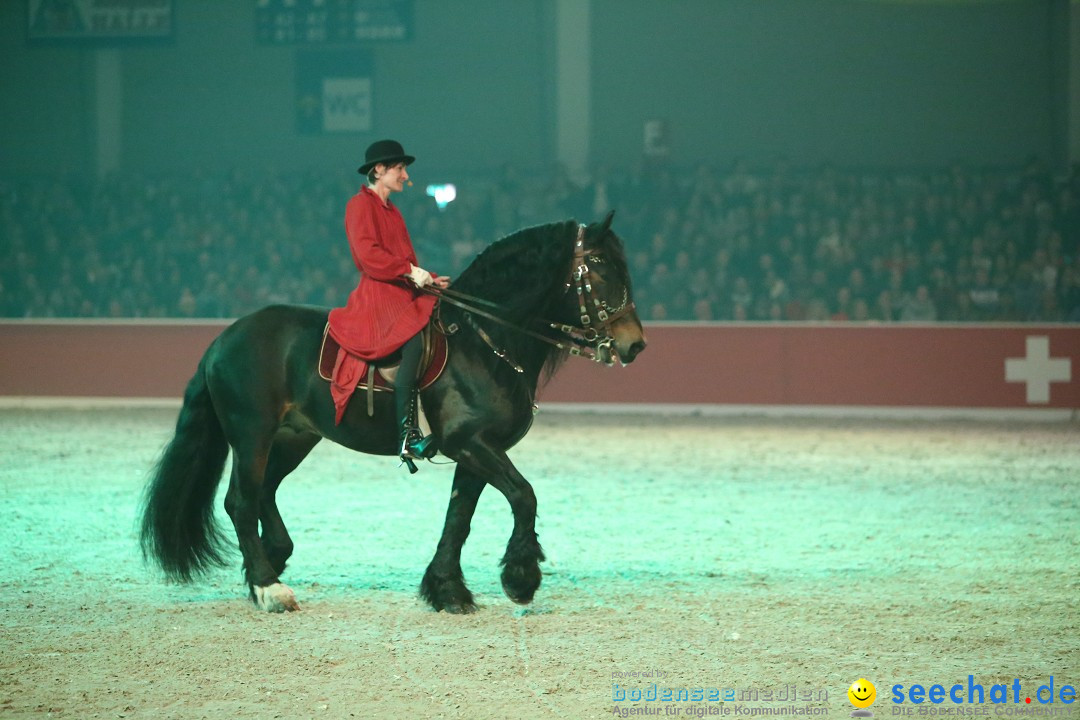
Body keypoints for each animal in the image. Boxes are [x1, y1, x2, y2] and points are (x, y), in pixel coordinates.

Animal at [133, 212, 639, 613]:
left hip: (295, 436)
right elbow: (523, 496)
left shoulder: (477, 449)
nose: (635, 344)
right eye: (601, 268)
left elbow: (460, 517)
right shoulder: (471, 444)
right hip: (251, 433)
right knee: (240, 500)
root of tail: (224, 338)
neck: (484, 341)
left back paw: (271, 559)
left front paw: (447, 589)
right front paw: (520, 578)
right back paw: (269, 587)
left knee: (264, 493)